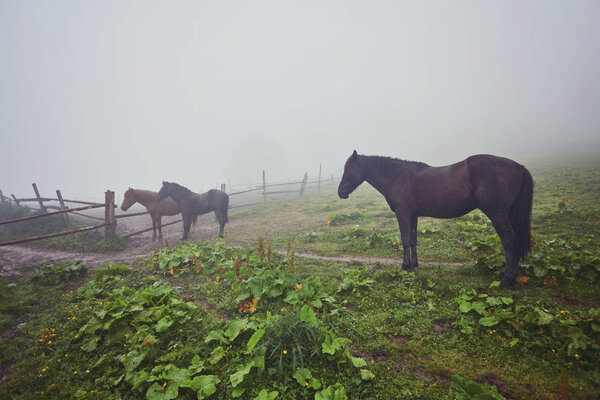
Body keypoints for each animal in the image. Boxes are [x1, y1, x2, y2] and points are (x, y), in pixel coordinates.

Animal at [338, 149, 536, 288]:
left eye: (349, 169)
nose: (340, 192)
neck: (397, 176)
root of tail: (518, 167)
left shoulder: (403, 214)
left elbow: (405, 240)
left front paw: (404, 266)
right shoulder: (413, 215)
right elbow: (413, 240)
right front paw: (414, 264)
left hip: (498, 215)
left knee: (509, 242)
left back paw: (506, 280)